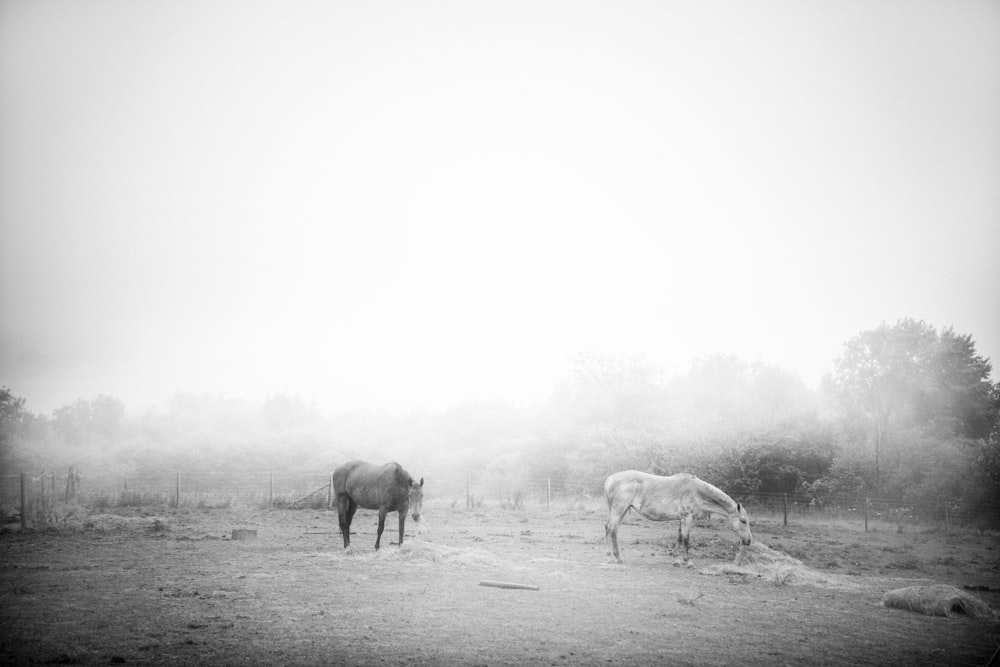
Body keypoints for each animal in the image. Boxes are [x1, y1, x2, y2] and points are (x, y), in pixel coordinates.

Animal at [600, 470, 752, 564]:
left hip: (623, 511)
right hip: (619, 510)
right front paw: (687, 561)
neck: (697, 491)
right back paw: (609, 557)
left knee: (614, 531)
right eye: (743, 521)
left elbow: (679, 538)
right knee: (609, 528)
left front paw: (676, 560)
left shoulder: (682, 519)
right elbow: (686, 539)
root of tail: (609, 479)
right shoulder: (687, 518)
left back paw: (618, 558)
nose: (748, 541)